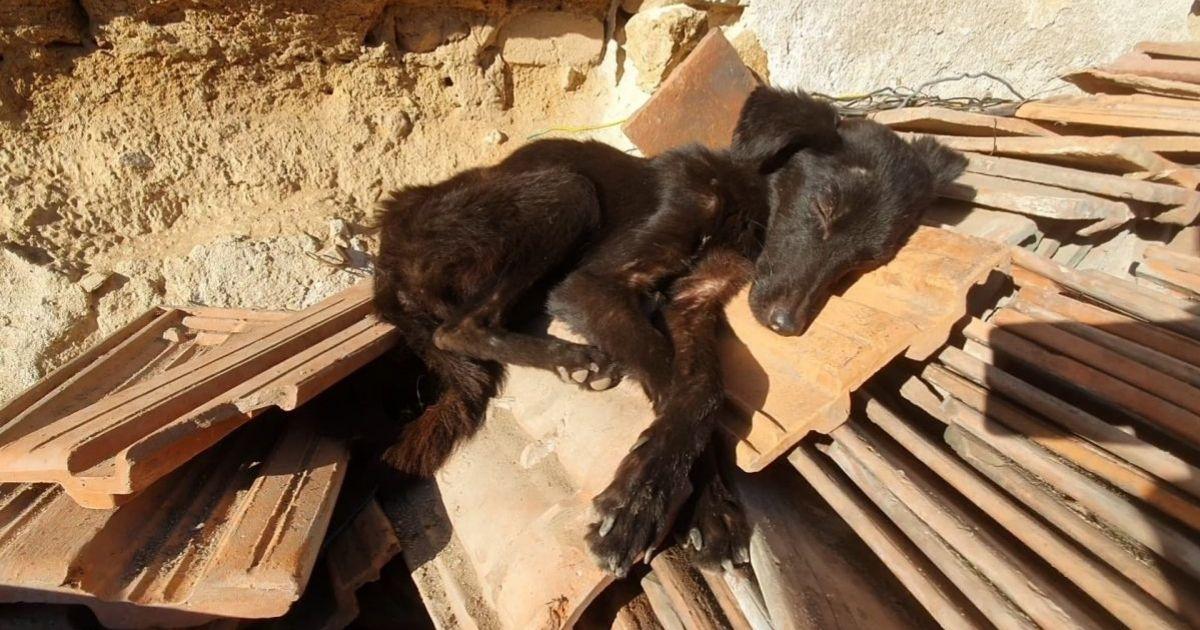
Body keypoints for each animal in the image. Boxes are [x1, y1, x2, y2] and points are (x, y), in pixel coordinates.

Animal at [369, 85, 960, 578]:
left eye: (869, 259)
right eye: (824, 208)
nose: (785, 325)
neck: (742, 202)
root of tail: (387, 251)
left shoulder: (692, 304)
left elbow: (700, 390)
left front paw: (709, 512)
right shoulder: (593, 284)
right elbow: (679, 381)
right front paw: (639, 505)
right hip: (565, 190)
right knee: (457, 329)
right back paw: (572, 357)